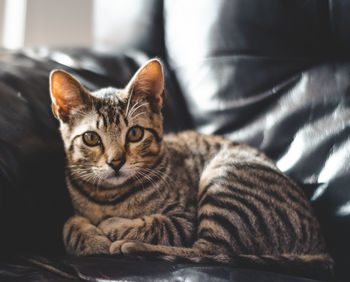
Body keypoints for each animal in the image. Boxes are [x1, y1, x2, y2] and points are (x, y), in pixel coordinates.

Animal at [48, 58, 334, 278]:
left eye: (135, 134)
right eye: (91, 138)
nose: (115, 162)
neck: (109, 197)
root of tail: (320, 245)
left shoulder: (184, 219)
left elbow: (155, 225)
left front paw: (109, 227)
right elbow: (68, 224)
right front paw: (89, 238)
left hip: (226, 178)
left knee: (209, 251)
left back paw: (131, 246)